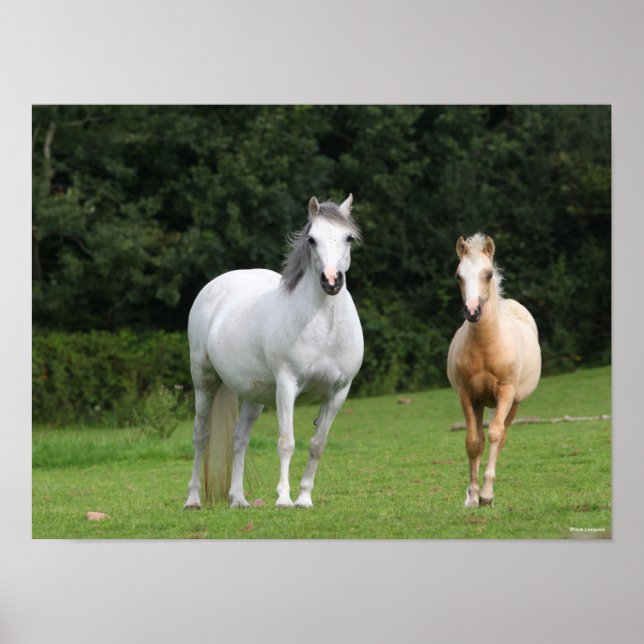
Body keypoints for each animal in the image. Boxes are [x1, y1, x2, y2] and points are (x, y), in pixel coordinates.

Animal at [184, 195, 363, 509]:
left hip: (253, 395)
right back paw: (193, 499)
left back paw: (238, 499)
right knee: (200, 436)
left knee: (239, 439)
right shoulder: (287, 386)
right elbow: (286, 442)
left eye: (348, 238)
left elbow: (317, 445)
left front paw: (304, 498)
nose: (331, 281)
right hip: (204, 381)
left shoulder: (339, 392)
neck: (324, 325)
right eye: (312, 239)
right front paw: (283, 498)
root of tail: (214, 286)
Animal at [447, 233, 541, 508]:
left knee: (502, 434)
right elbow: (472, 442)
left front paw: (487, 495)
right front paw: (472, 496)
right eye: (458, 275)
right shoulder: (467, 396)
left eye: (488, 274)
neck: (486, 347)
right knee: (478, 438)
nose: (472, 311)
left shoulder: (506, 393)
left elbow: (496, 435)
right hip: (480, 403)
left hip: (514, 402)